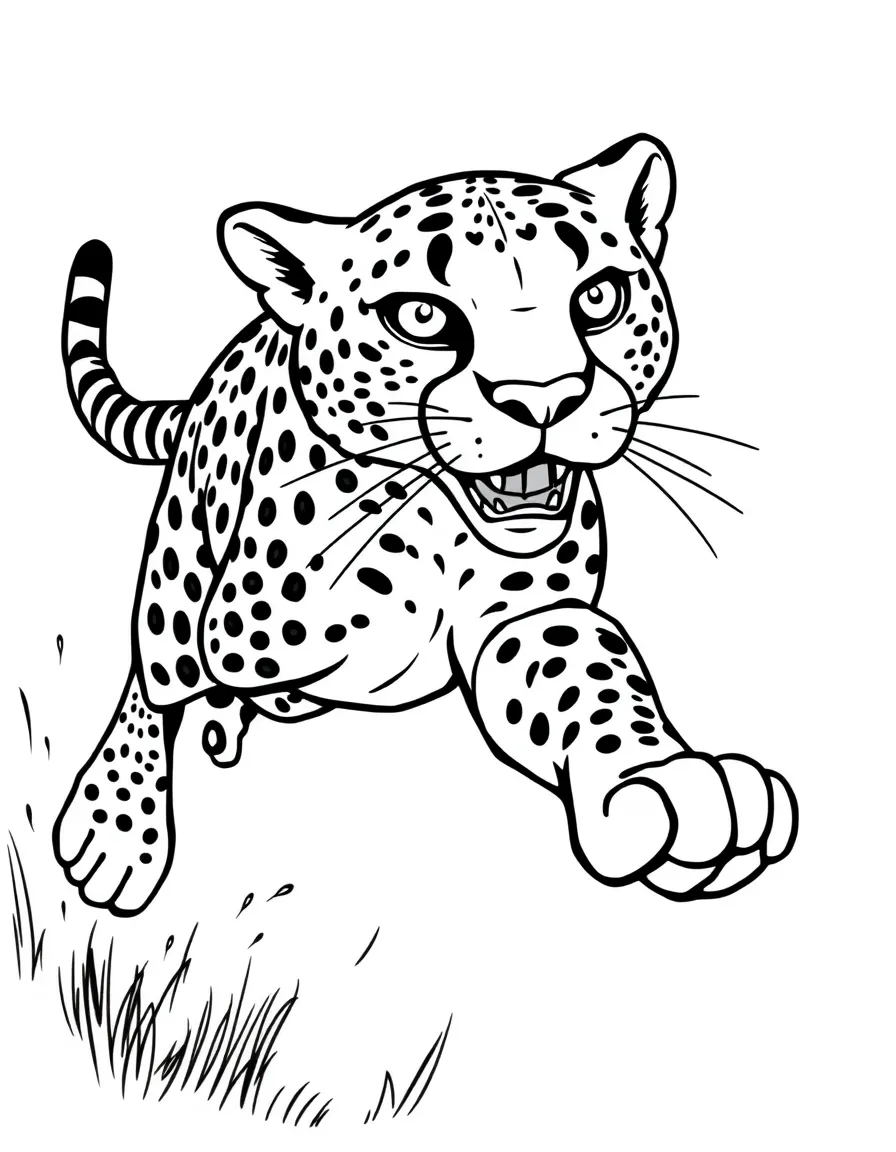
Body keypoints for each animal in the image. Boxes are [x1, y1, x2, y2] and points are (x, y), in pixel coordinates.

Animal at [53, 134, 797, 916]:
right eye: (422, 318)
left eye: (598, 298)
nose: (544, 400)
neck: (438, 527)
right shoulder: (237, 623)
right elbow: (168, 677)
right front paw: (114, 829)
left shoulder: (520, 617)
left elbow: (585, 667)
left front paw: (666, 784)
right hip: (182, 547)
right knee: (160, 653)